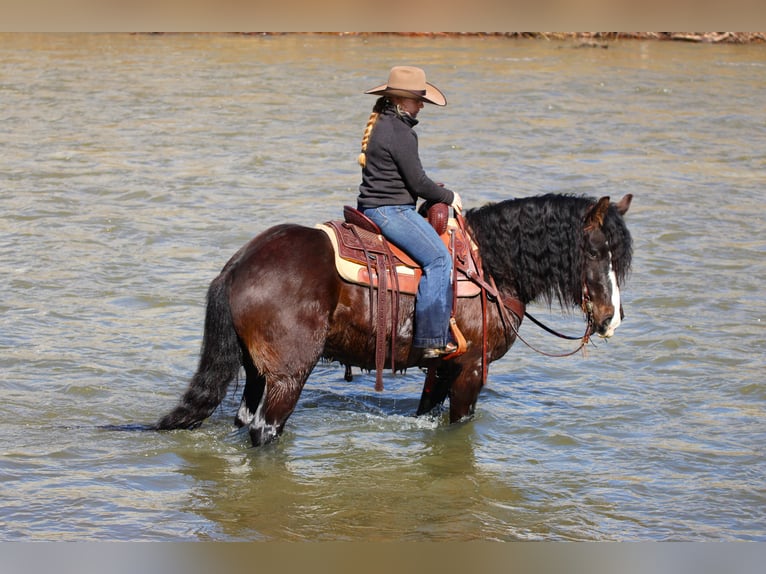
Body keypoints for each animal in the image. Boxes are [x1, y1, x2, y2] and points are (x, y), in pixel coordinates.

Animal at [154, 193, 633, 447]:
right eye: (595, 252)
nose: (611, 318)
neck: (490, 267)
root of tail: (237, 265)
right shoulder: (471, 367)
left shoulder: (443, 365)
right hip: (289, 375)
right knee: (264, 432)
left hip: (257, 372)